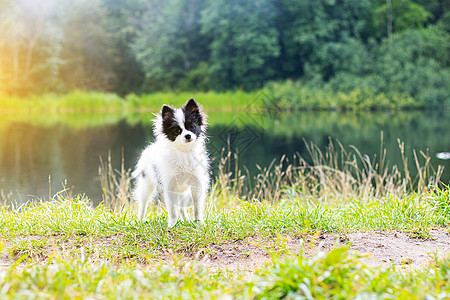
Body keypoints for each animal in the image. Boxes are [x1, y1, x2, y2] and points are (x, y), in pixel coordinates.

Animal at [133, 98, 210, 227]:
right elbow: (172, 210)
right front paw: (172, 225)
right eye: (177, 131)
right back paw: (140, 220)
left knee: (182, 208)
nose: (188, 136)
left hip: (184, 192)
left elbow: (197, 207)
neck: (183, 152)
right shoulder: (170, 186)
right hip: (146, 185)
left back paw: (186, 220)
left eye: (192, 126)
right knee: (143, 204)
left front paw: (198, 222)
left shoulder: (196, 183)